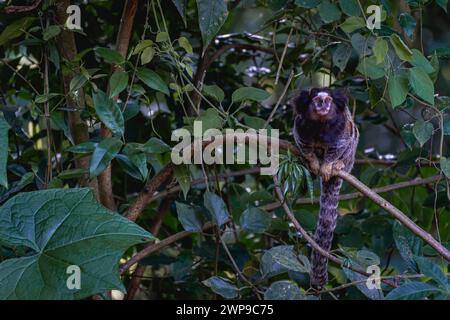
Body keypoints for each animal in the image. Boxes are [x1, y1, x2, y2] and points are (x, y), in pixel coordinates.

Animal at [292, 87, 358, 288]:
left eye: (328, 100)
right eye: (317, 100)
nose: (323, 106)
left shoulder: (341, 129)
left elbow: (342, 143)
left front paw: (328, 165)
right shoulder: (300, 127)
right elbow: (304, 145)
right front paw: (313, 161)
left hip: (350, 159)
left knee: (353, 137)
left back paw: (339, 166)